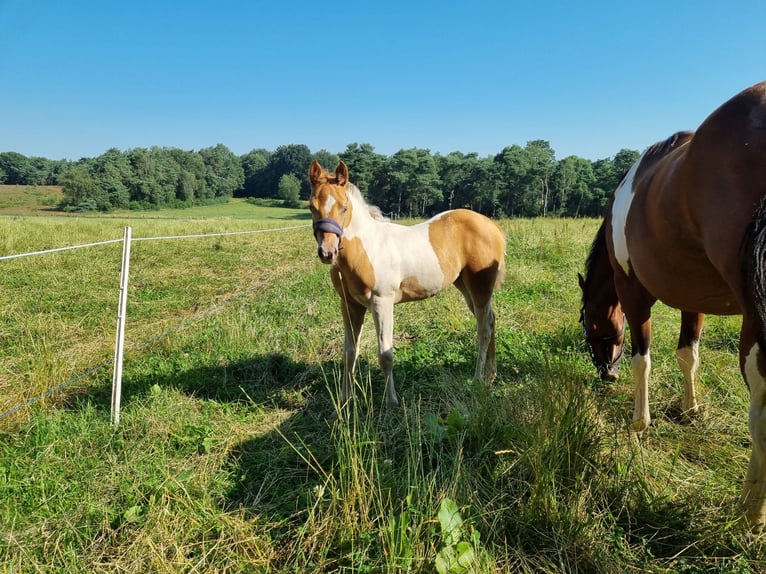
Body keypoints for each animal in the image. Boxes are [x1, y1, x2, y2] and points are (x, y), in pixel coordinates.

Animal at [308, 162, 508, 412]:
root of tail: (492, 226)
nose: (327, 253)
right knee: (491, 320)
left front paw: (392, 403)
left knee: (483, 330)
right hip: (466, 286)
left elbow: (385, 355)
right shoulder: (350, 305)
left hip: (481, 286)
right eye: (312, 207)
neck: (367, 249)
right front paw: (346, 401)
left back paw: (477, 380)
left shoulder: (382, 302)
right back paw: (491, 375)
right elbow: (349, 353)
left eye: (344, 208)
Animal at [580, 80, 766, 528]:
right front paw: (691, 408)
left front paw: (639, 422)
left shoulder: (633, 294)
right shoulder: (691, 300)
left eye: (591, 329)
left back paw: (751, 512)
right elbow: (688, 355)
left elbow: (642, 359)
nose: (606, 376)